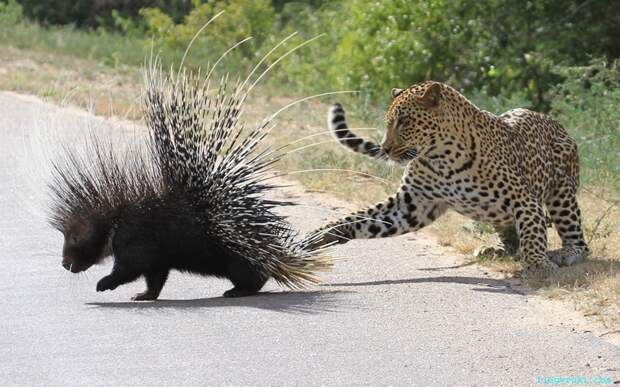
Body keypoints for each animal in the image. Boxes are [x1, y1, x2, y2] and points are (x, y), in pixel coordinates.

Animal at [312, 81, 588, 276]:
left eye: (404, 121)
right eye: (389, 122)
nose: (385, 149)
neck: (441, 157)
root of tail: (557, 124)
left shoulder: (523, 199)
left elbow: (533, 232)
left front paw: (539, 265)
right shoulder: (412, 204)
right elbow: (361, 219)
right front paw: (322, 234)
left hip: (562, 195)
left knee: (579, 240)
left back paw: (567, 253)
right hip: (500, 215)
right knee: (510, 234)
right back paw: (496, 249)